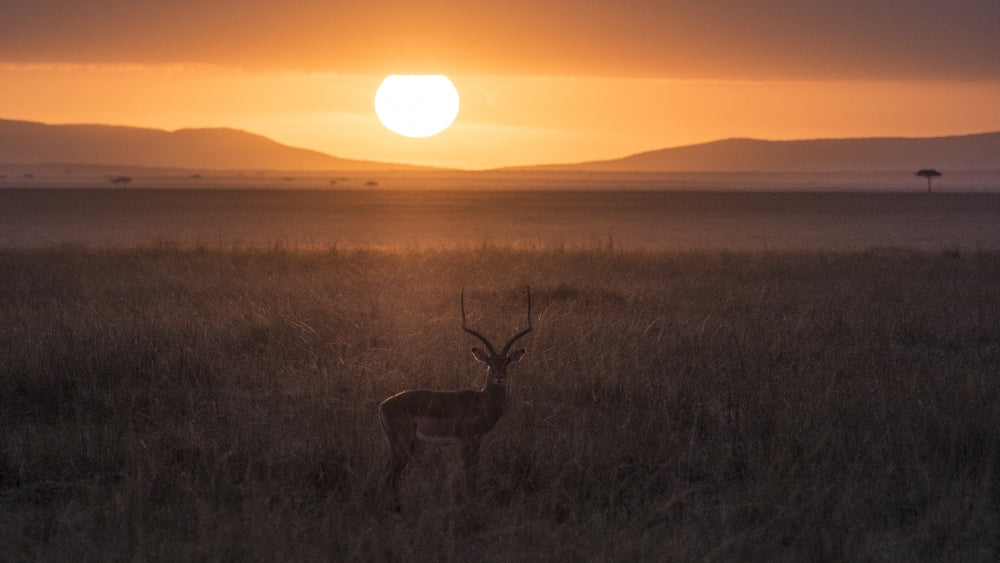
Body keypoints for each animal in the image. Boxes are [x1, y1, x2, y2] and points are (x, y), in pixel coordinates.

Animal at [378, 287, 532, 511]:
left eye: (506, 363)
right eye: (490, 363)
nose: (499, 378)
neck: (480, 402)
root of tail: (383, 405)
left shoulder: (477, 441)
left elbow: (474, 472)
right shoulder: (465, 441)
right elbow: (468, 474)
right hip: (402, 445)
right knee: (389, 475)